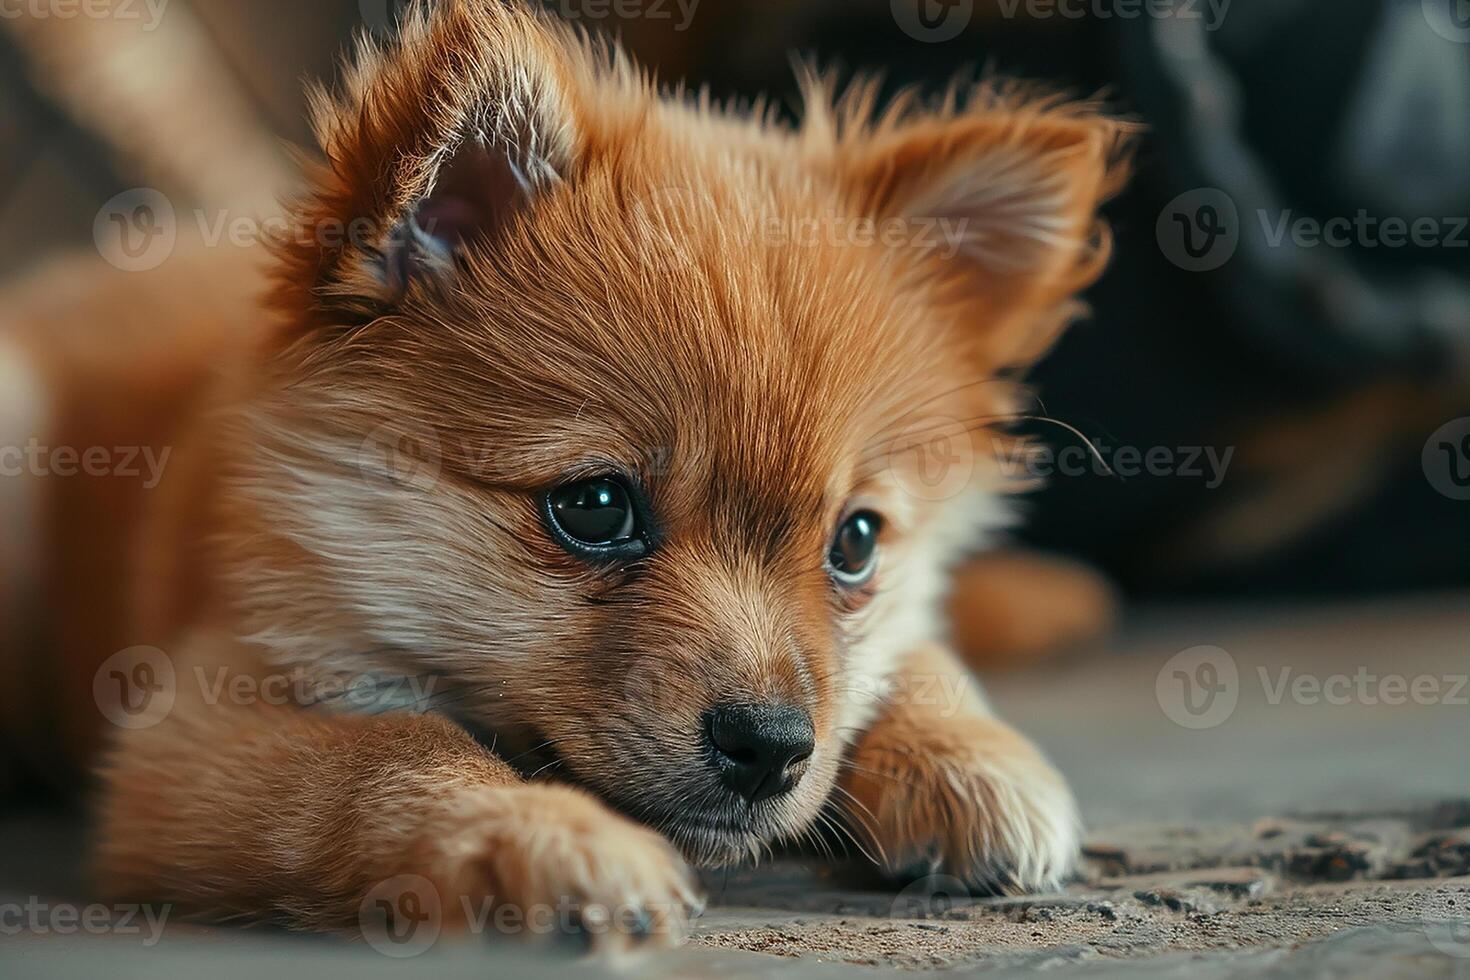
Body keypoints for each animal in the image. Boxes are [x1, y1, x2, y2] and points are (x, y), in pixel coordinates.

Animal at [0, 0, 1128, 952]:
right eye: (592, 508)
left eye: (854, 542)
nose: (771, 746)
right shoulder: (198, 724)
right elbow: (390, 753)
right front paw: (538, 831)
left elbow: (910, 652)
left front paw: (969, 754)